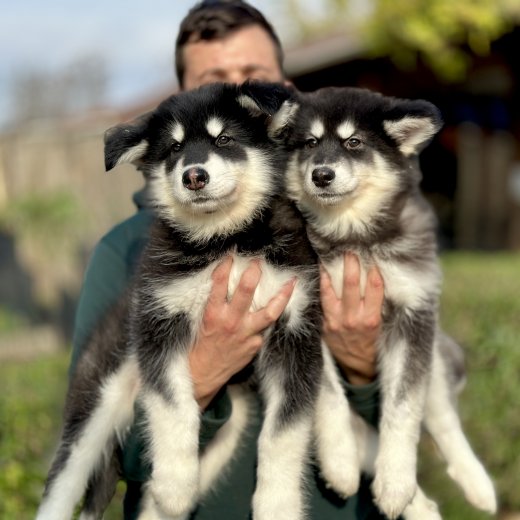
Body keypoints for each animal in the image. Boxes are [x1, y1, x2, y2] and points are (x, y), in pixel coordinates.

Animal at [36, 81, 320, 520]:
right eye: (173, 148)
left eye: (224, 139)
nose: (194, 176)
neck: (226, 239)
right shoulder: (161, 320)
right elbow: (172, 402)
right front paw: (173, 481)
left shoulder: (296, 328)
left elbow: (284, 432)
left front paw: (279, 504)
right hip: (95, 398)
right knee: (62, 484)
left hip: (229, 422)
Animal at [282, 87, 498, 516]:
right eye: (310, 143)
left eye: (354, 142)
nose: (321, 175)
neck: (353, 235)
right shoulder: (309, 315)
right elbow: (329, 396)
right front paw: (340, 464)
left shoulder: (414, 313)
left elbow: (403, 407)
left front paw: (397, 481)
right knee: (366, 435)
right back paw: (417, 503)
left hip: (432, 350)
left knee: (442, 417)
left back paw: (476, 485)